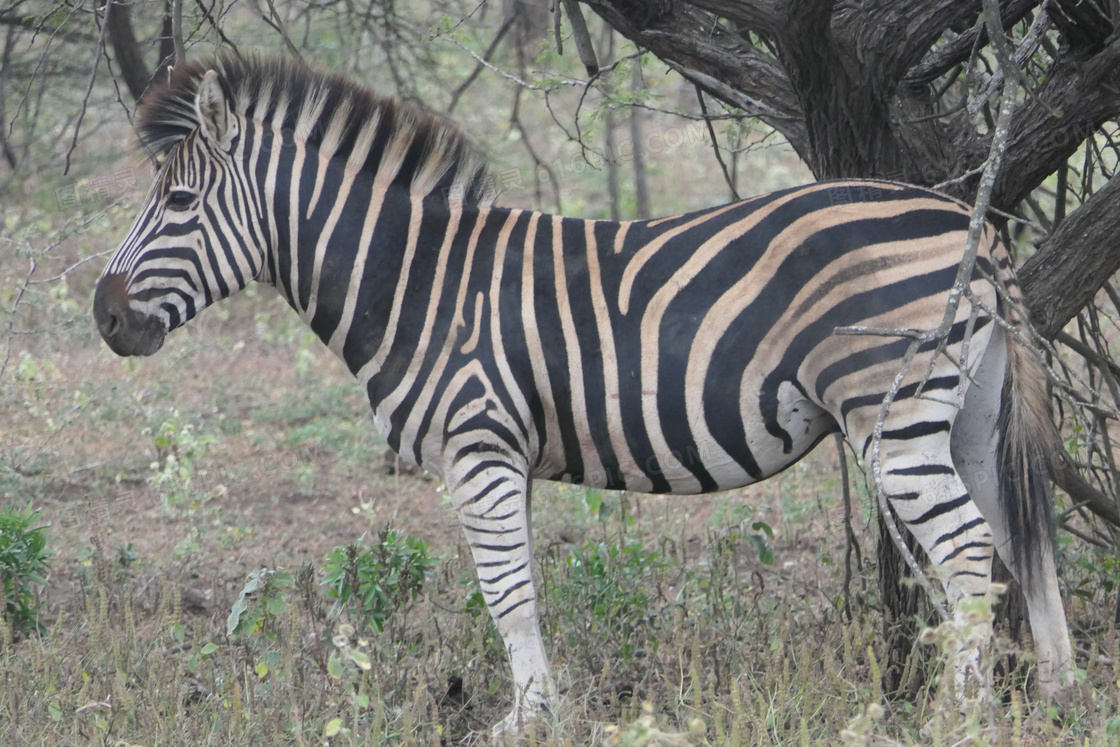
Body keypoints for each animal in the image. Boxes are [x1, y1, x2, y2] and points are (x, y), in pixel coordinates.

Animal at [96, 55, 1075, 739]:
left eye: (177, 203)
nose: (105, 316)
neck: (417, 284)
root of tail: (976, 227)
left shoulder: (479, 441)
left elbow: (505, 592)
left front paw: (524, 722)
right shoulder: (507, 453)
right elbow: (521, 585)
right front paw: (541, 709)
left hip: (894, 414)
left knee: (967, 552)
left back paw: (959, 718)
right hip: (971, 415)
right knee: (1025, 542)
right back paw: (1062, 697)